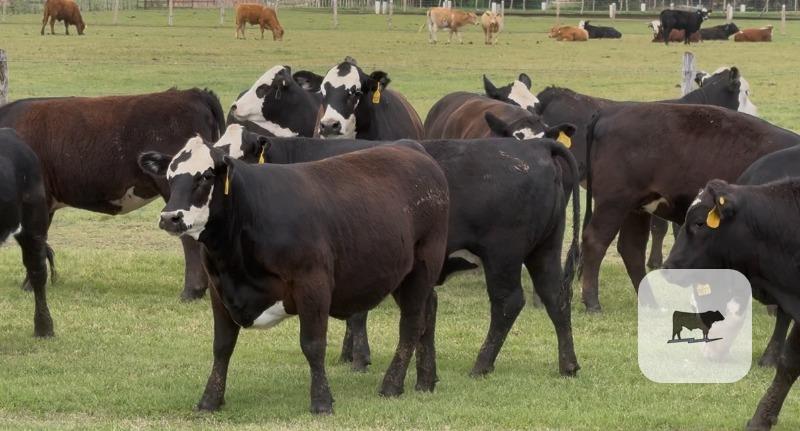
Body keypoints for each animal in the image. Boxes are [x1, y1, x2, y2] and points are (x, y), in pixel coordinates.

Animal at [138, 136, 449, 414]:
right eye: (170, 177)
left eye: (205, 175)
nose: (170, 217)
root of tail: (411, 147)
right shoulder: (219, 289)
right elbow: (222, 346)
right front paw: (210, 401)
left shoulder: (312, 284)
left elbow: (312, 344)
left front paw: (322, 402)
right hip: (403, 272)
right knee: (429, 310)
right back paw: (426, 379)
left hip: (423, 263)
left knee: (411, 323)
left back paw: (392, 385)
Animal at [579, 103, 799, 312]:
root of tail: (612, 111)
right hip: (614, 202)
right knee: (595, 242)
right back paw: (592, 303)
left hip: (636, 207)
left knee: (631, 248)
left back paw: (650, 302)